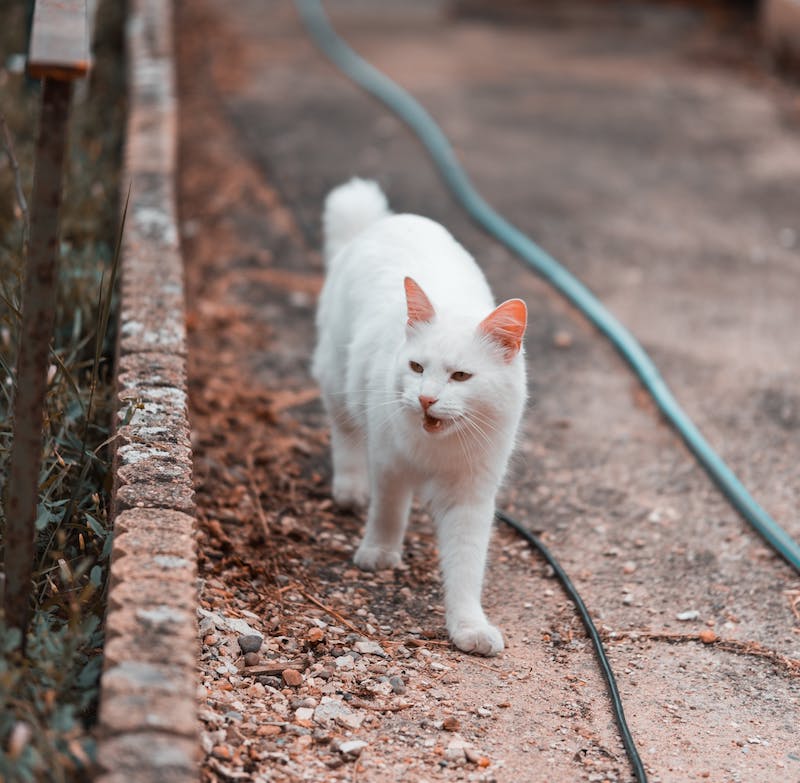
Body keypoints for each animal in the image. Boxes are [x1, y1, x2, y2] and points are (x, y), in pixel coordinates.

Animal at [310, 178, 528, 656]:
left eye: (461, 376)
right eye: (416, 368)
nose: (426, 399)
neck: (437, 446)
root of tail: (384, 222)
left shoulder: (471, 496)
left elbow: (466, 568)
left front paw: (469, 629)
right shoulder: (388, 463)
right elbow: (389, 512)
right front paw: (378, 554)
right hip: (338, 379)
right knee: (344, 435)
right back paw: (350, 491)